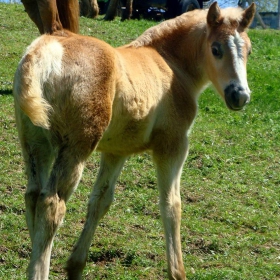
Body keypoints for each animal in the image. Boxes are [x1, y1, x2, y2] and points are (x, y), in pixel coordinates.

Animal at [13, 2, 256, 280]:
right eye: (216, 49)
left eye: (249, 50)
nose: (239, 95)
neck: (170, 63)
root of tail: (48, 50)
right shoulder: (172, 146)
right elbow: (171, 205)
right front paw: (177, 272)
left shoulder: (116, 151)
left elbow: (100, 201)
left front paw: (75, 265)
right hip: (76, 147)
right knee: (52, 204)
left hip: (35, 144)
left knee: (33, 196)